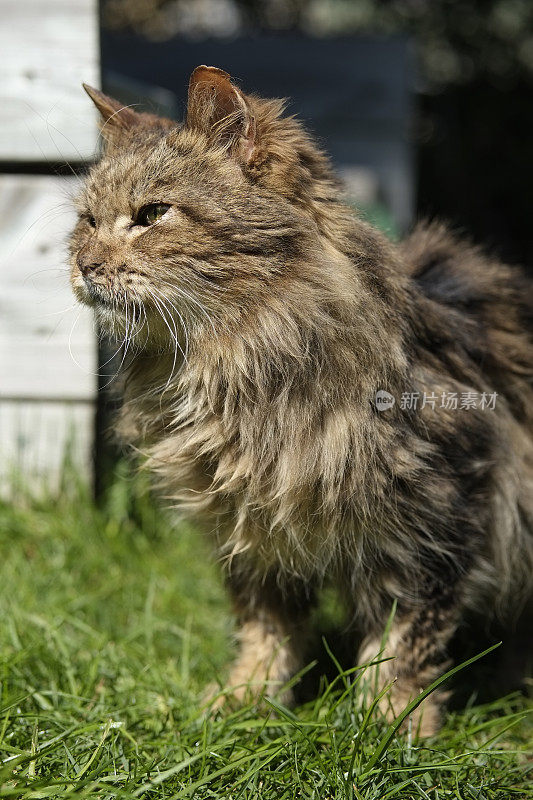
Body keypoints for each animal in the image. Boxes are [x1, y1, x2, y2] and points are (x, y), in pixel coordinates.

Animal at [69, 65, 532, 736]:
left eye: (153, 215)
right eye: (87, 220)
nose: (83, 264)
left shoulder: (440, 518)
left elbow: (404, 646)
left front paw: (387, 729)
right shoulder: (250, 532)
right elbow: (266, 632)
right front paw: (244, 706)